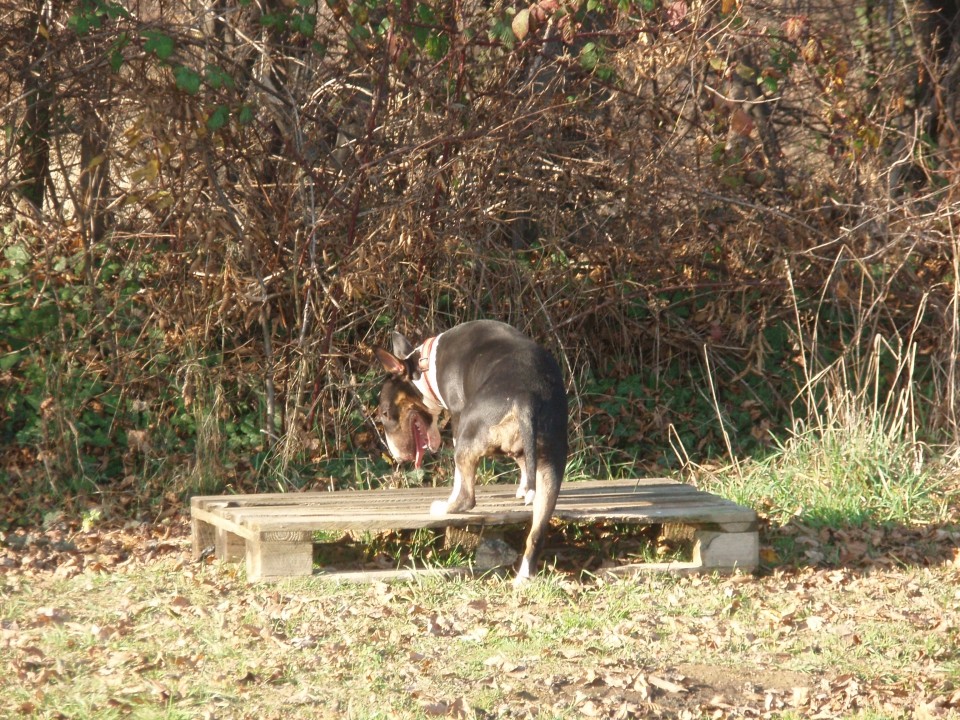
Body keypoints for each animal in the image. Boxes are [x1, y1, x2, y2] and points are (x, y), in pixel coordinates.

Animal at [374, 320, 568, 584]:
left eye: (384, 413)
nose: (396, 456)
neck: (426, 366)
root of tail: (525, 398)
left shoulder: (457, 418)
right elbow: (524, 465)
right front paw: (523, 489)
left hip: (467, 436)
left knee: (467, 495)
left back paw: (444, 508)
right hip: (552, 462)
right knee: (537, 532)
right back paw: (523, 578)